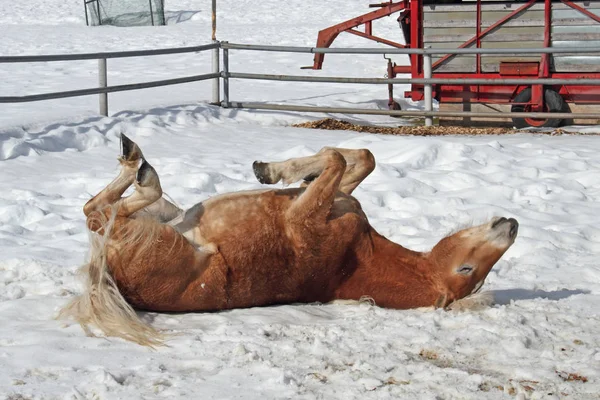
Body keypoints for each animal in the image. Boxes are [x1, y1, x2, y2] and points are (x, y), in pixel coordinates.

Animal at [62, 133, 520, 346]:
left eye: (469, 271)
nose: (513, 226)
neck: (357, 255)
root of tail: (114, 277)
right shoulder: (337, 197)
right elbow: (360, 159)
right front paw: (279, 170)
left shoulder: (305, 216)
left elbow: (336, 160)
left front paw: (274, 170)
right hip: (164, 216)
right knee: (97, 207)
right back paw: (134, 158)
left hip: (149, 229)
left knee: (100, 212)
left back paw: (140, 167)